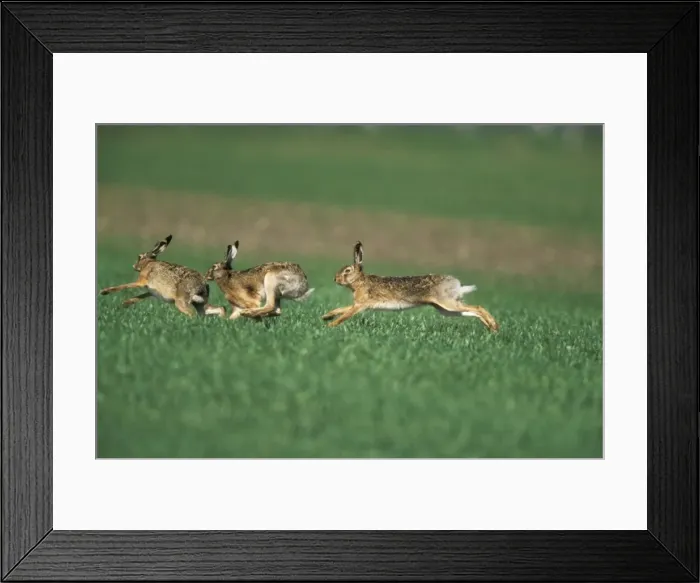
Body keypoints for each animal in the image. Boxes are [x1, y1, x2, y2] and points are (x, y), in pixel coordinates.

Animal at [321, 241, 499, 331]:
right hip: (446, 309)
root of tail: (456, 283)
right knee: (473, 311)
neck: (360, 281)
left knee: (478, 307)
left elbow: (345, 315)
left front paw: (330, 326)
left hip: (447, 303)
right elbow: (341, 309)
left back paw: (493, 326)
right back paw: (492, 329)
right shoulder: (358, 304)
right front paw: (326, 317)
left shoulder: (360, 305)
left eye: (347, 270)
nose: (335, 278)